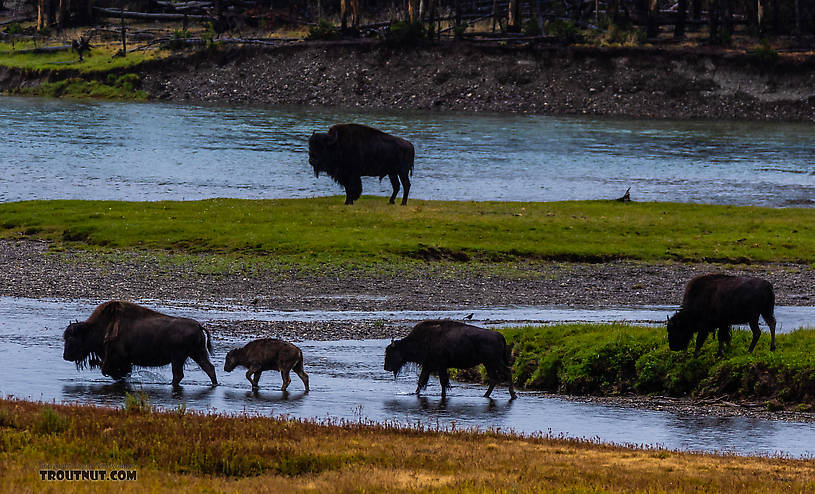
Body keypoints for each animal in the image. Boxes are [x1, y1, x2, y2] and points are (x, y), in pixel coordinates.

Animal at [62, 300, 218, 388]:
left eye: (72, 338)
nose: (65, 356)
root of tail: (198, 325)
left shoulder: (118, 359)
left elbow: (113, 371)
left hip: (179, 357)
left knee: (179, 374)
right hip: (196, 353)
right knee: (209, 368)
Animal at [384, 322, 516, 400]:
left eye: (390, 352)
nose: (386, 367)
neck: (423, 340)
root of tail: (499, 335)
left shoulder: (440, 366)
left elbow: (442, 382)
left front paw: (443, 395)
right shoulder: (428, 366)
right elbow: (421, 381)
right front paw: (415, 393)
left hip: (493, 362)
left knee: (506, 372)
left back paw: (512, 395)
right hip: (489, 363)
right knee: (494, 378)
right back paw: (486, 395)